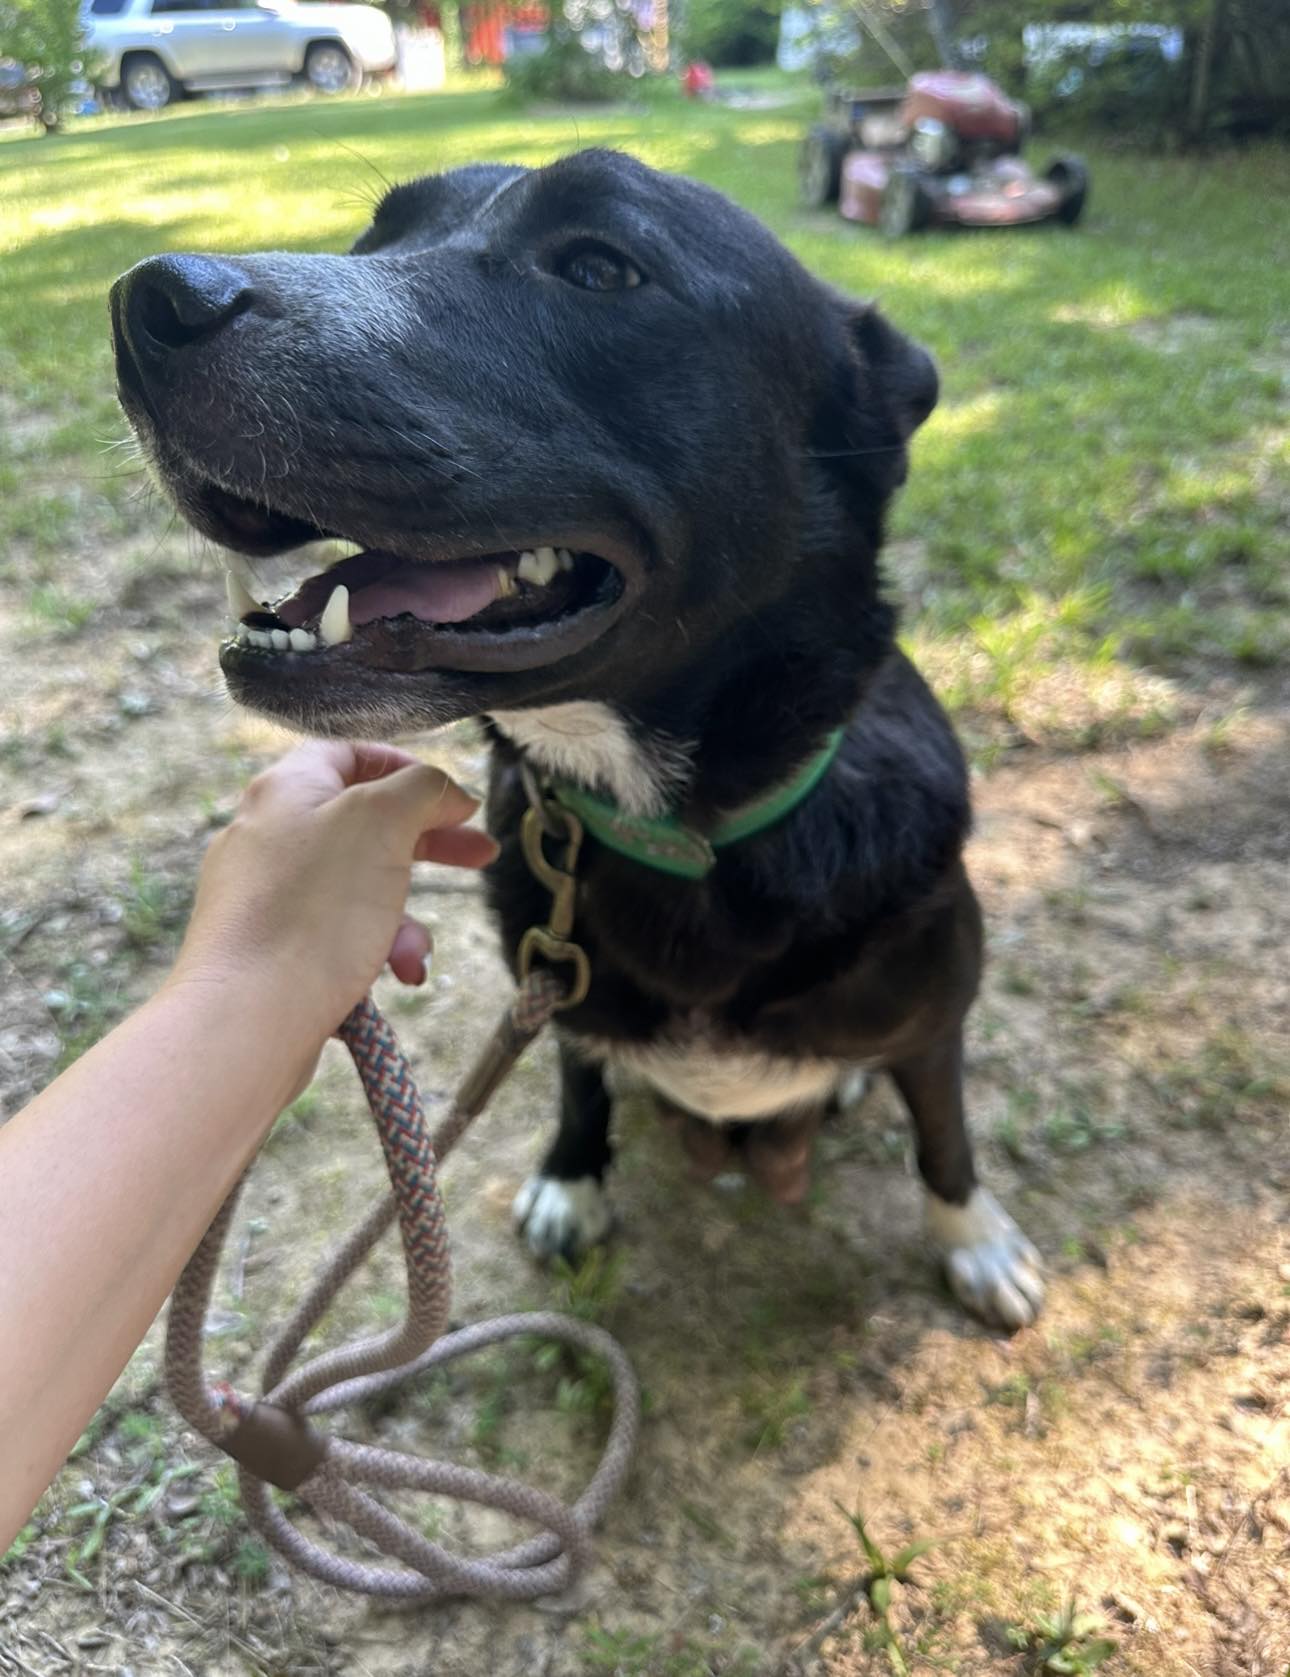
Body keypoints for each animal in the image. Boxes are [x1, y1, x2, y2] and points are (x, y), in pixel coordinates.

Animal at [105, 157, 1040, 1334]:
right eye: (376, 239)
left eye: (599, 268)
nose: (143, 303)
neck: (679, 828)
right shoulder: (553, 986)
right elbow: (578, 1069)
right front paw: (571, 1172)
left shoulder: (934, 1021)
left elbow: (945, 1131)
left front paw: (974, 1236)